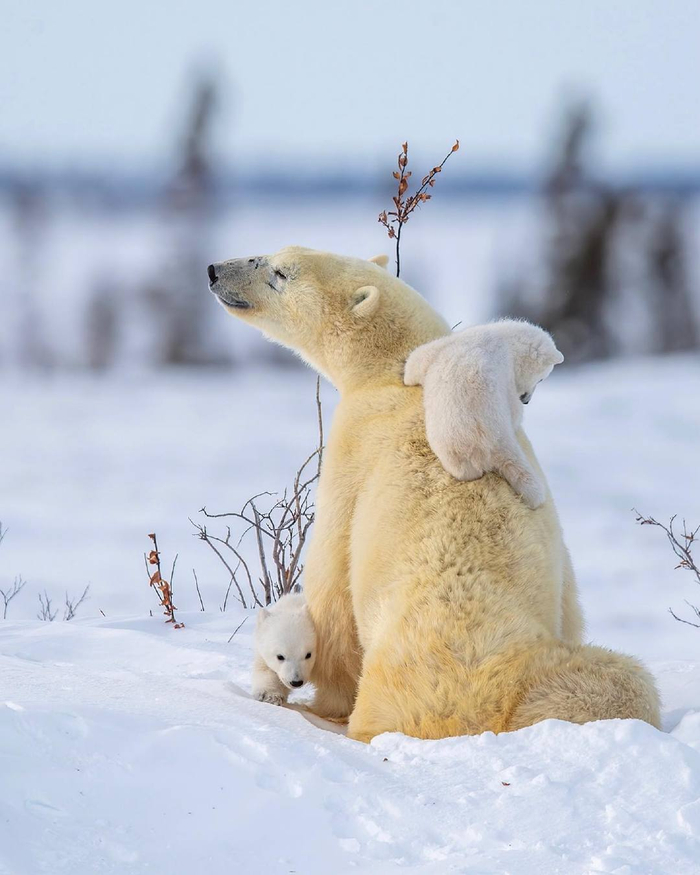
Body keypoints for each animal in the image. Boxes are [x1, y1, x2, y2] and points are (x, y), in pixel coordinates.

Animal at [403, 319, 564, 509]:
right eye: (542, 378)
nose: (526, 400)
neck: (507, 340)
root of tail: (489, 443)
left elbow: (419, 358)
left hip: (452, 445)